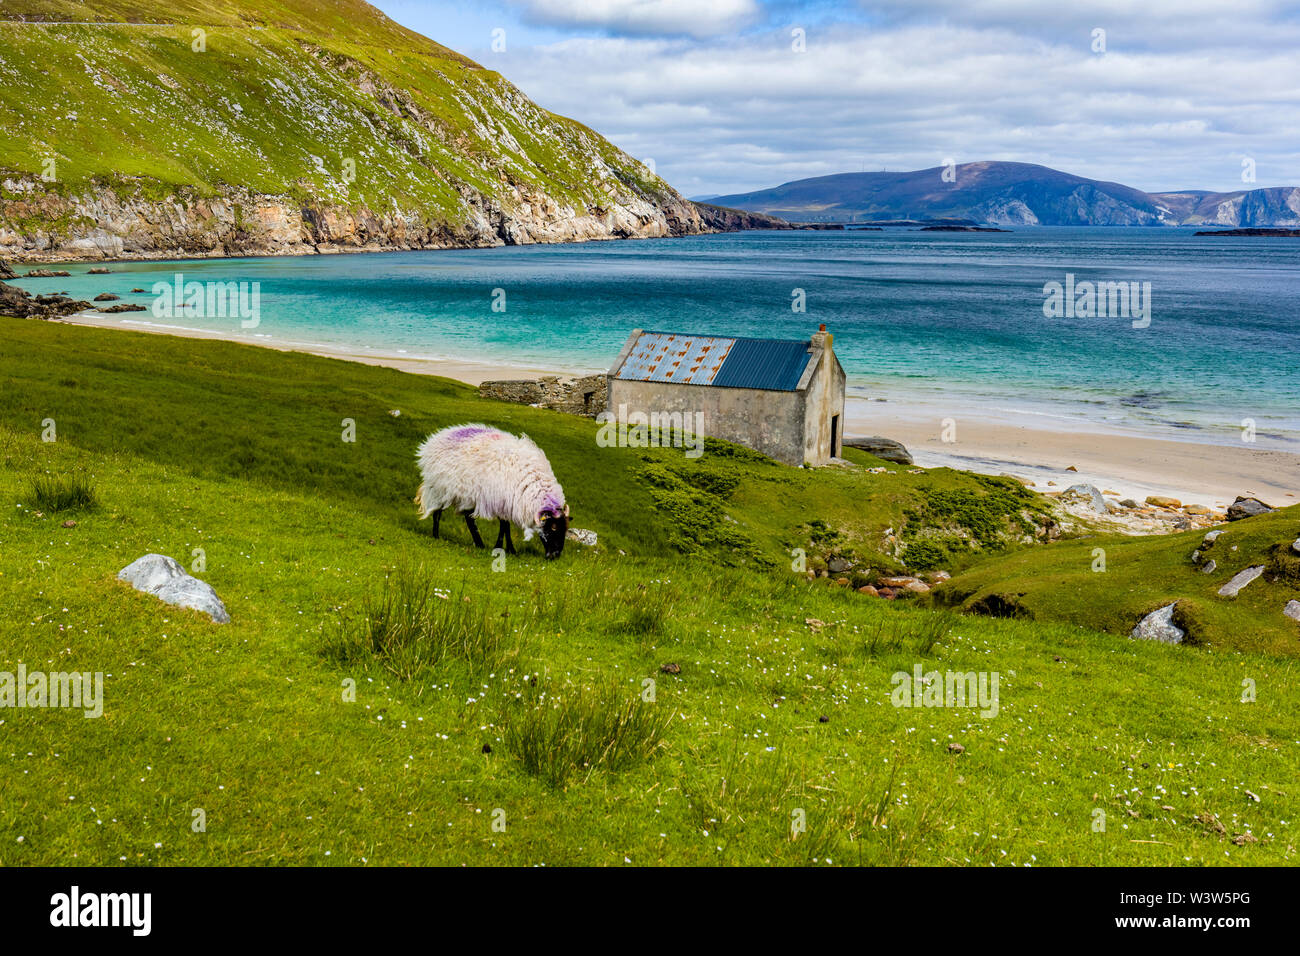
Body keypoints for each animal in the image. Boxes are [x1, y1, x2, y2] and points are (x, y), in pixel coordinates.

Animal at [416, 426, 569, 561]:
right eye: (553, 528)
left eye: (565, 529)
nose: (555, 555)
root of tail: (436, 438)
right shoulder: (502, 501)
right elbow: (504, 527)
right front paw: (504, 548)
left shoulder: (506, 504)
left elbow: (505, 527)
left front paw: (507, 549)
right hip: (441, 489)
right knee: (438, 513)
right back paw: (436, 536)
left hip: (465, 496)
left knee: (468, 518)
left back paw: (479, 543)